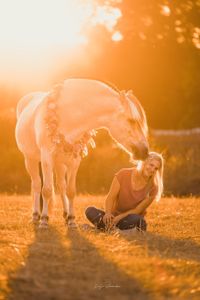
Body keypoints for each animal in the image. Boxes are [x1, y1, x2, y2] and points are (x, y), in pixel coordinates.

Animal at [15, 77, 148, 227]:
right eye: (131, 120)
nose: (145, 151)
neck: (67, 116)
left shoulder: (74, 161)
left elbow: (71, 191)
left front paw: (71, 220)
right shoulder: (46, 159)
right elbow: (47, 190)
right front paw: (44, 220)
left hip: (60, 163)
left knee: (61, 186)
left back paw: (65, 214)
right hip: (30, 160)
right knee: (37, 186)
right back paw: (36, 215)